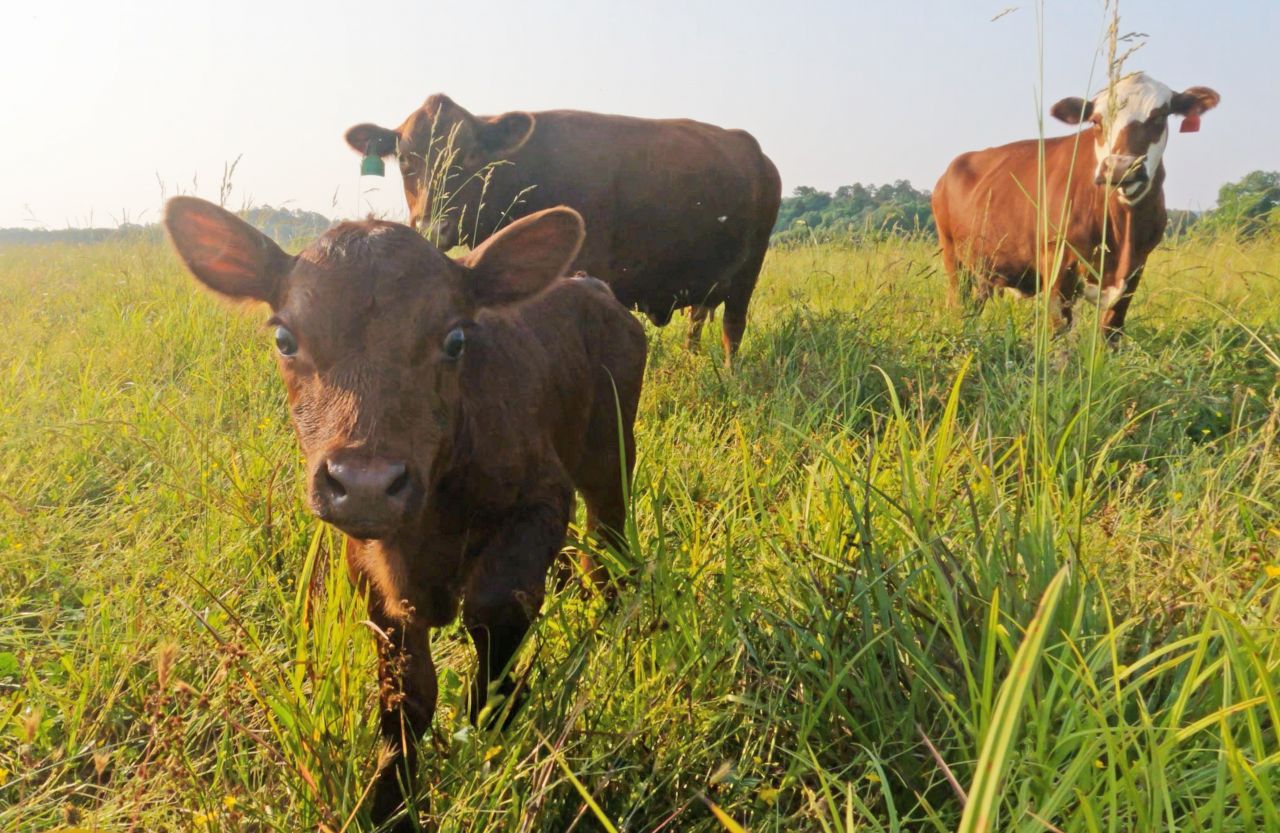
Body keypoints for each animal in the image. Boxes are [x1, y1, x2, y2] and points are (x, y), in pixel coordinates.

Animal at [167, 197, 650, 833]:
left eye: (455, 340)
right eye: (285, 339)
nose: (366, 484)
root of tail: (589, 285)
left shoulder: (544, 496)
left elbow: (495, 604)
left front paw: (494, 709)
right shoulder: (368, 567)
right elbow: (405, 695)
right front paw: (389, 802)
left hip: (610, 457)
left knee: (608, 549)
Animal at [345, 94, 778, 360]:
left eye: (469, 156)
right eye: (405, 160)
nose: (434, 226)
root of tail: (755, 149)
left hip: (748, 273)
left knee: (732, 328)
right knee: (697, 322)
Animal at [931, 71, 1218, 337]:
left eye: (1160, 116)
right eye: (1096, 121)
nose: (1119, 168)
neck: (1123, 227)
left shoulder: (1137, 265)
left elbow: (1112, 329)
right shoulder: (1057, 258)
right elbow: (1059, 327)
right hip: (953, 256)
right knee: (959, 302)